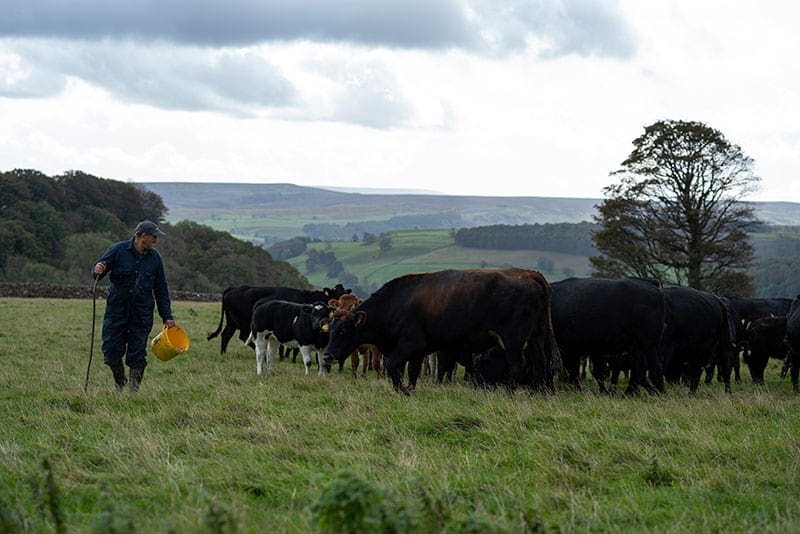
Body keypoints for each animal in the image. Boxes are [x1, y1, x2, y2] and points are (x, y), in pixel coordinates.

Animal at [206, 284, 350, 356]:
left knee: (226, 335)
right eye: (337, 297)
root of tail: (232, 288)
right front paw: (283, 356)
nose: (344, 311)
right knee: (242, 336)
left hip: (232, 321)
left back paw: (223, 353)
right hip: (242, 322)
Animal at [318, 270, 556, 396]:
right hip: (537, 336)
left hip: (514, 340)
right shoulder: (419, 351)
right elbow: (412, 371)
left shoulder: (409, 345)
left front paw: (402, 390)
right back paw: (540, 392)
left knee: (517, 366)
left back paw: (509, 392)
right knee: (541, 362)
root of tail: (530, 278)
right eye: (330, 330)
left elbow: (393, 366)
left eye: (344, 331)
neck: (395, 303)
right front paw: (410, 389)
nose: (327, 356)